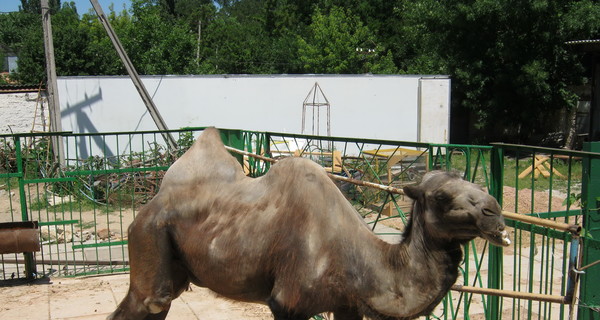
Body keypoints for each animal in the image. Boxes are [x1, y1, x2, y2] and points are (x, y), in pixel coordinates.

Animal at [108, 128, 510, 320]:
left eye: (474, 184)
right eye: (441, 196)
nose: (495, 212)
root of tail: (150, 203)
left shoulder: (347, 305)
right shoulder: (287, 303)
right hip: (150, 238)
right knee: (148, 302)